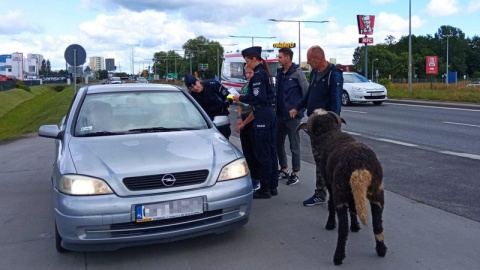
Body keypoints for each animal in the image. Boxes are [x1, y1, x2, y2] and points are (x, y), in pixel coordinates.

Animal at [298, 108, 388, 264]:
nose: (316, 110)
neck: (331, 133)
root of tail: (359, 167)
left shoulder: (330, 184)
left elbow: (331, 205)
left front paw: (330, 224)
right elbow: (353, 209)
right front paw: (355, 226)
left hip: (340, 191)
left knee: (343, 228)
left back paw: (338, 257)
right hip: (377, 193)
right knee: (377, 224)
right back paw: (381, 250)